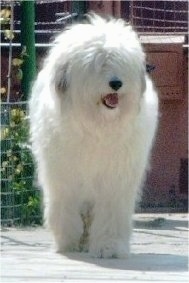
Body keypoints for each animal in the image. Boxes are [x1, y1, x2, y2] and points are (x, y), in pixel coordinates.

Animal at [29, 13, 158, 260]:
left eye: (121, 62)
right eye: (98, 63)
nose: (116, 83)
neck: (97, 124)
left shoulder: (115, 179)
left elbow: (110, 212)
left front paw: (109, 247)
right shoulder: (63, 175)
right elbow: (65, 207)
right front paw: (67, 242)